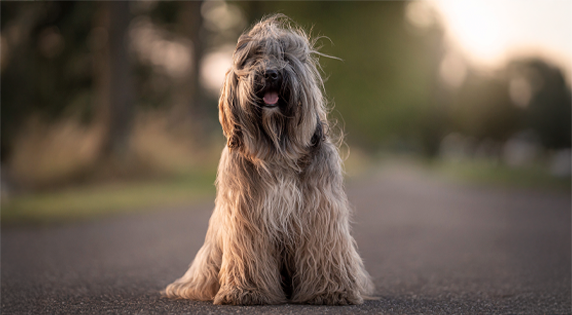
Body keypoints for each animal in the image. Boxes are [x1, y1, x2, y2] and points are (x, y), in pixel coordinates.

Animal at [163, 14, 374, 306]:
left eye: (285, 57)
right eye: (254, 58)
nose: (271, 73)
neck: (277, 149)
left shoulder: (319, 211)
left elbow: (323, 249)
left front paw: (331, 291)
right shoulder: (247, 214)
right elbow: (249, 253)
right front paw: (246, 292)